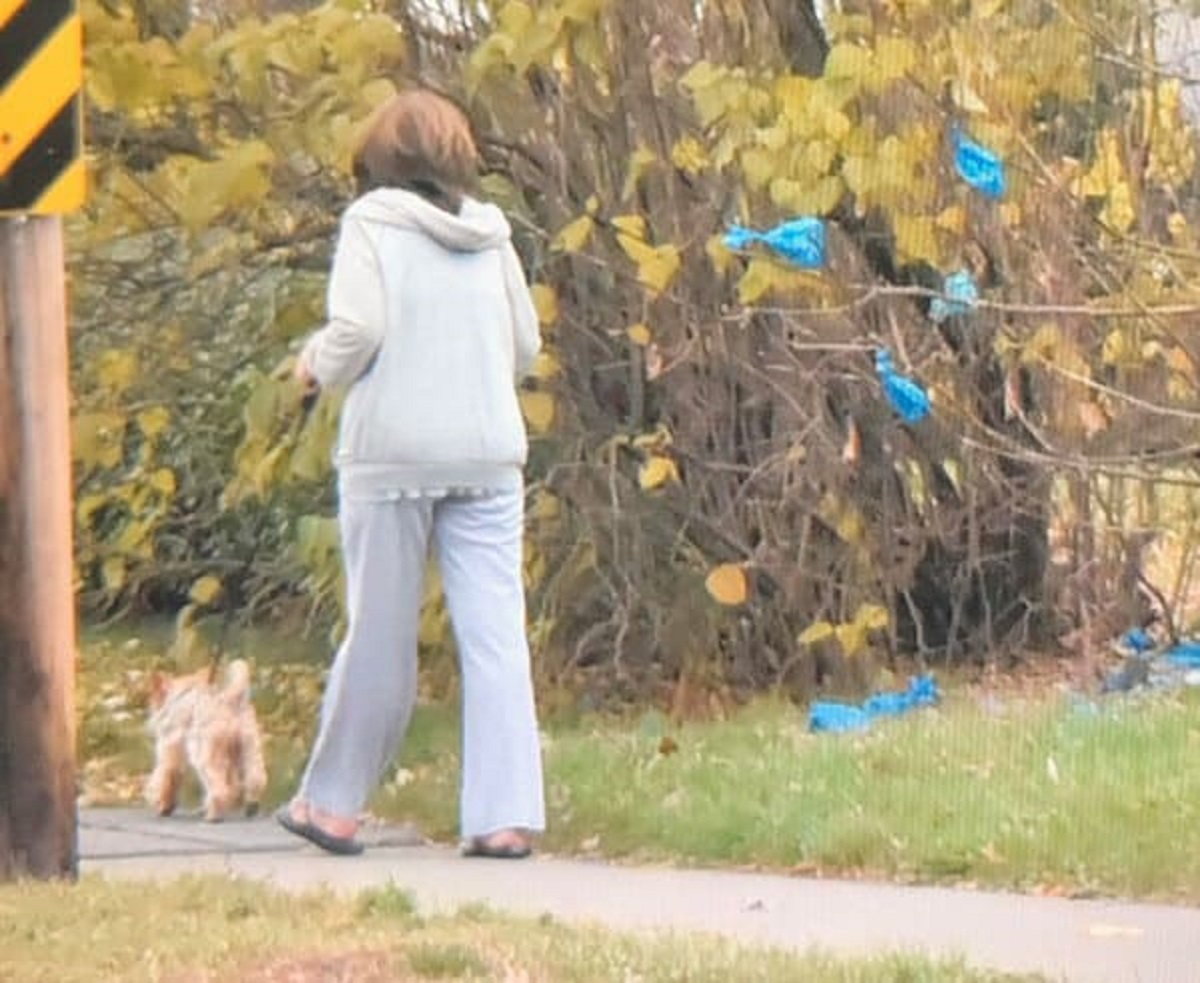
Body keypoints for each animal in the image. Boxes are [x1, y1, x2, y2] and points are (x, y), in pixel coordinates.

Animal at [144, 662, 268, 820]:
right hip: (248, 750)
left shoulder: (170, 755)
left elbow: (165, 779)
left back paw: (213, 815)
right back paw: (251, 806)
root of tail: (229, 700)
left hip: (206, 757)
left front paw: (163, 805)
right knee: (255, 779)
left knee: (220, 787)